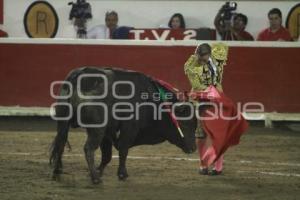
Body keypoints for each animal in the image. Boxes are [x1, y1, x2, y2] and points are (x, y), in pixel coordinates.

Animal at [49, 67, 197, 184]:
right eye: (185, 123)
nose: (193, 148)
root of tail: (77, 77)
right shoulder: (129, 128)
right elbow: (123, 149)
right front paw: (122, 174)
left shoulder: (108, 132)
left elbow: (107, 155)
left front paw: (99, 170)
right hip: (97, 129)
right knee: (88, 148)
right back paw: (95, 178)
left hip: (63, 123)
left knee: (61, 144)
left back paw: (57, 172)